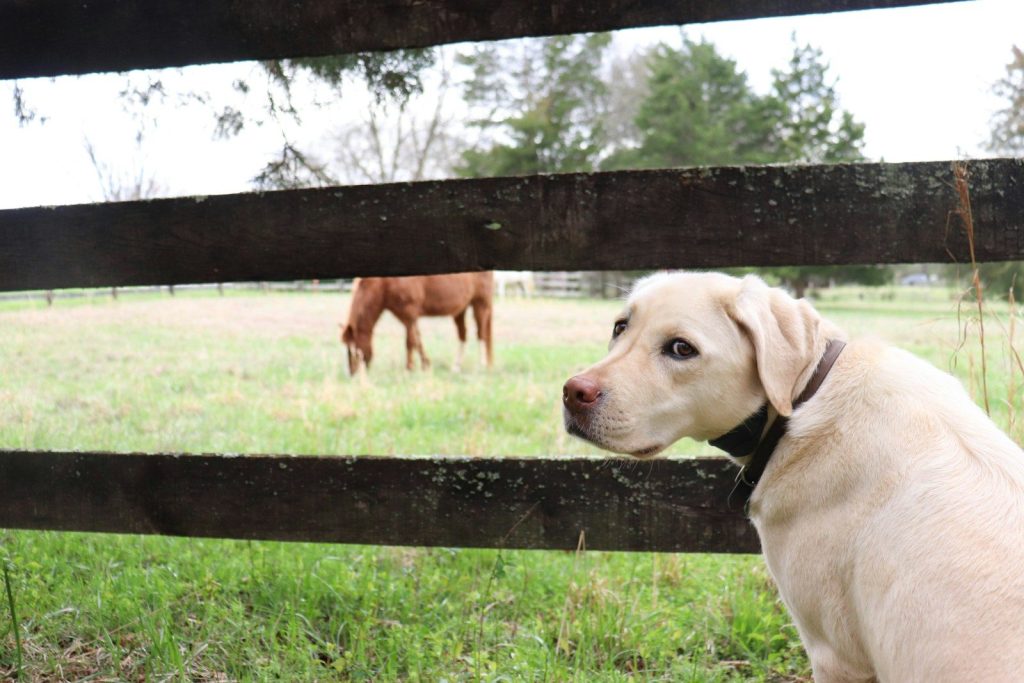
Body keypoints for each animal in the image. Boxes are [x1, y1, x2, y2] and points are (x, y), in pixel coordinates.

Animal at [340, 272, 494, 375]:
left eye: (353, 348)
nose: (352, 374)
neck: (384, 283)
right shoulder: (407, 317)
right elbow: (418, 341)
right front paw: (426, 365)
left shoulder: (410, 314)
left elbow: (410, 342)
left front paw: (409, 369)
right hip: (460, 310)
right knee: (463, 335)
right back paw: (456, 367)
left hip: (480, 304)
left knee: (481, 334)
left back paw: (482, 365)